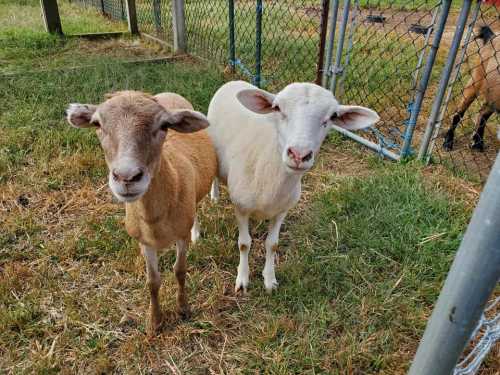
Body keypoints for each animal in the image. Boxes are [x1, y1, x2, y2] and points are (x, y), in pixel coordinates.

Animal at [207, 81, 378, 296]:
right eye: (277, 108)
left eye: (332, 117)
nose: (299, 154)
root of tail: (233, 81)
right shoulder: (241, 207)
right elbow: (244, 244)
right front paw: (243, 279)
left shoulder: (282, 210)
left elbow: (272, 244)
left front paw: (269, 280)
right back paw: (214, 197)